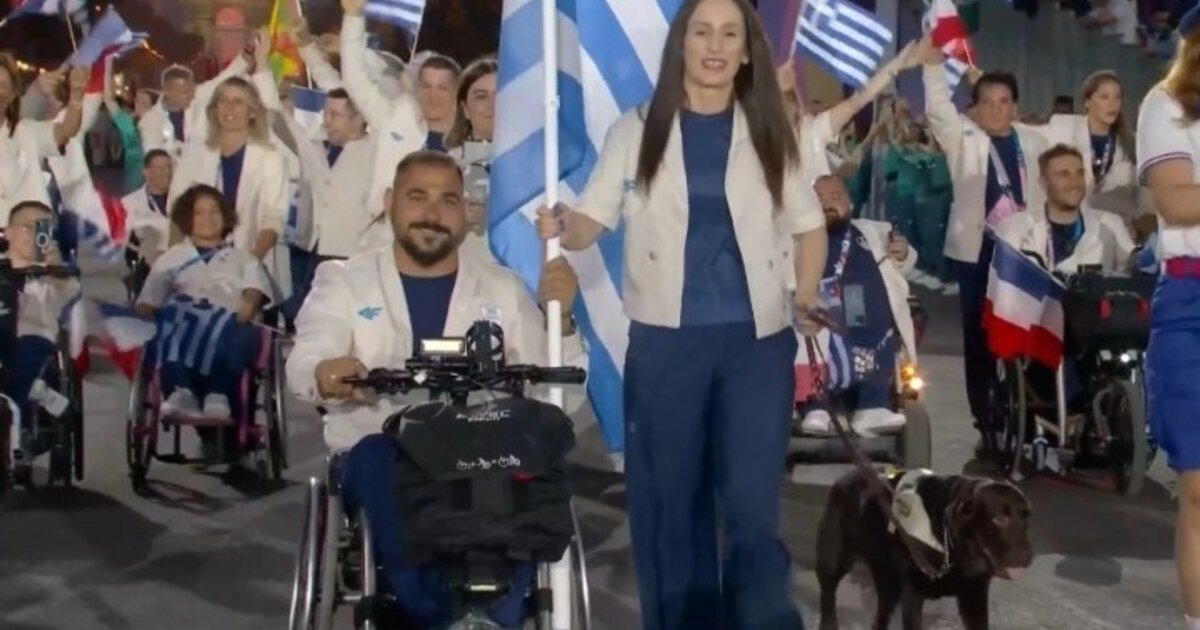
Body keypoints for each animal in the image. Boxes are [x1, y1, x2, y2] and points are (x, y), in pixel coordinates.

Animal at [815, 468, 1033, 630]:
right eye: (1000, 519)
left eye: (1027, 518)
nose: (1027, 557)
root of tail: (846, 476)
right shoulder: (913, 596)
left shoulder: (974, 596)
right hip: (832, 561)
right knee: (827, 595)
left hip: (887, 579)